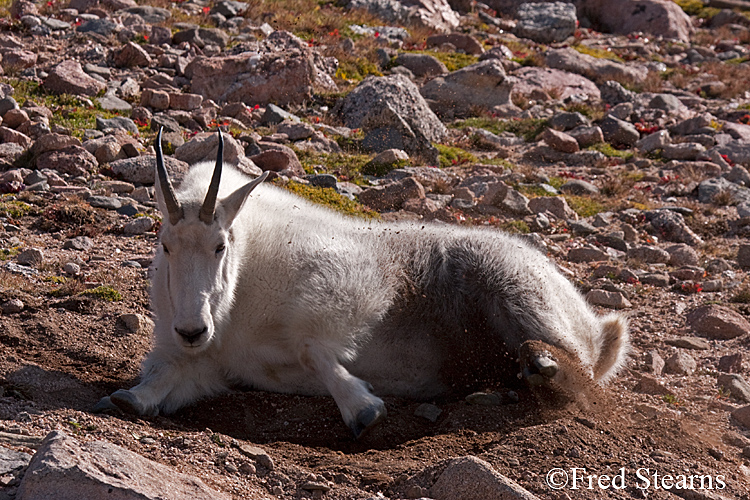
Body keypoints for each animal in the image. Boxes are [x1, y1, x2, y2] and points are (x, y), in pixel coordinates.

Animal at [97, 128, 632, 438]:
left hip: (519, 293)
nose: (192, 330)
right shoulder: (213, 363)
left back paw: (541, 364)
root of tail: (601, 330)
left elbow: (313, 349)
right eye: (165, 244)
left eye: (220, 246)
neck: (241, 296)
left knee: (578, 371)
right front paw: (129, 398)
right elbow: (167, 380)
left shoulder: (349, 289)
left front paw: (363, 408)